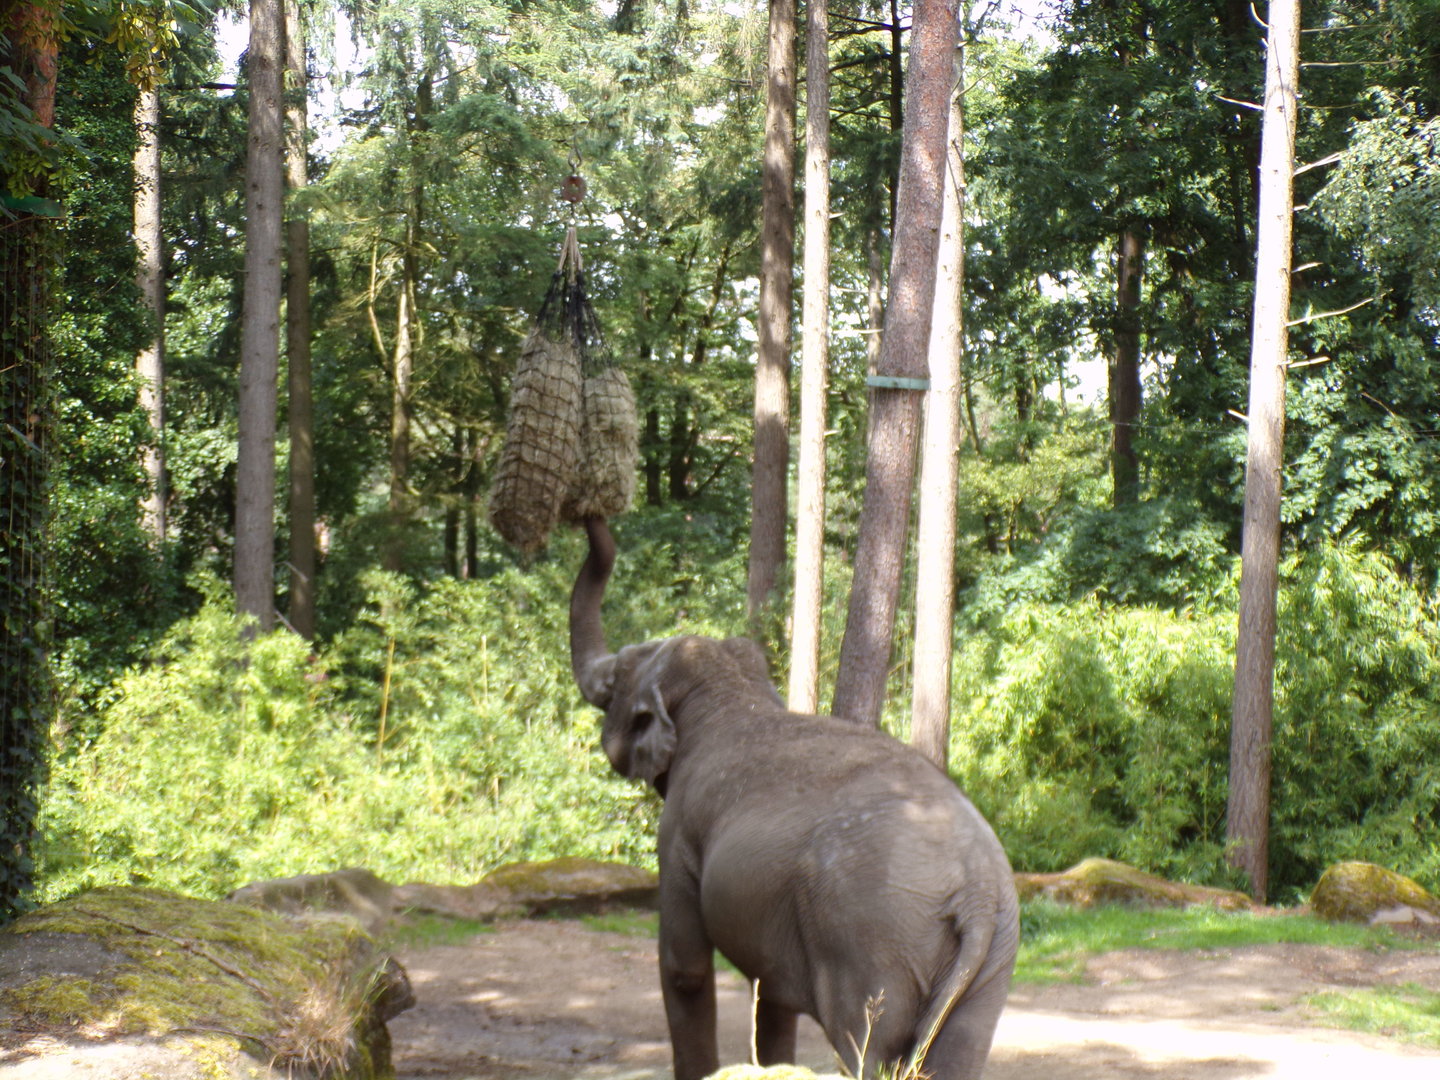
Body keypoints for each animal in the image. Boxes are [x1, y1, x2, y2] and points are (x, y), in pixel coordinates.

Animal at [570, 517, 1019, 1080]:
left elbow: (684, 967)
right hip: (990, 962)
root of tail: (978, 892)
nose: (589, 516)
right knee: (959, 1053)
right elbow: (772, 994)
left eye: (613, 686)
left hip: (870, 941)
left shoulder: (678, 835)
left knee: (862, 1044)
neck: (732, 690)